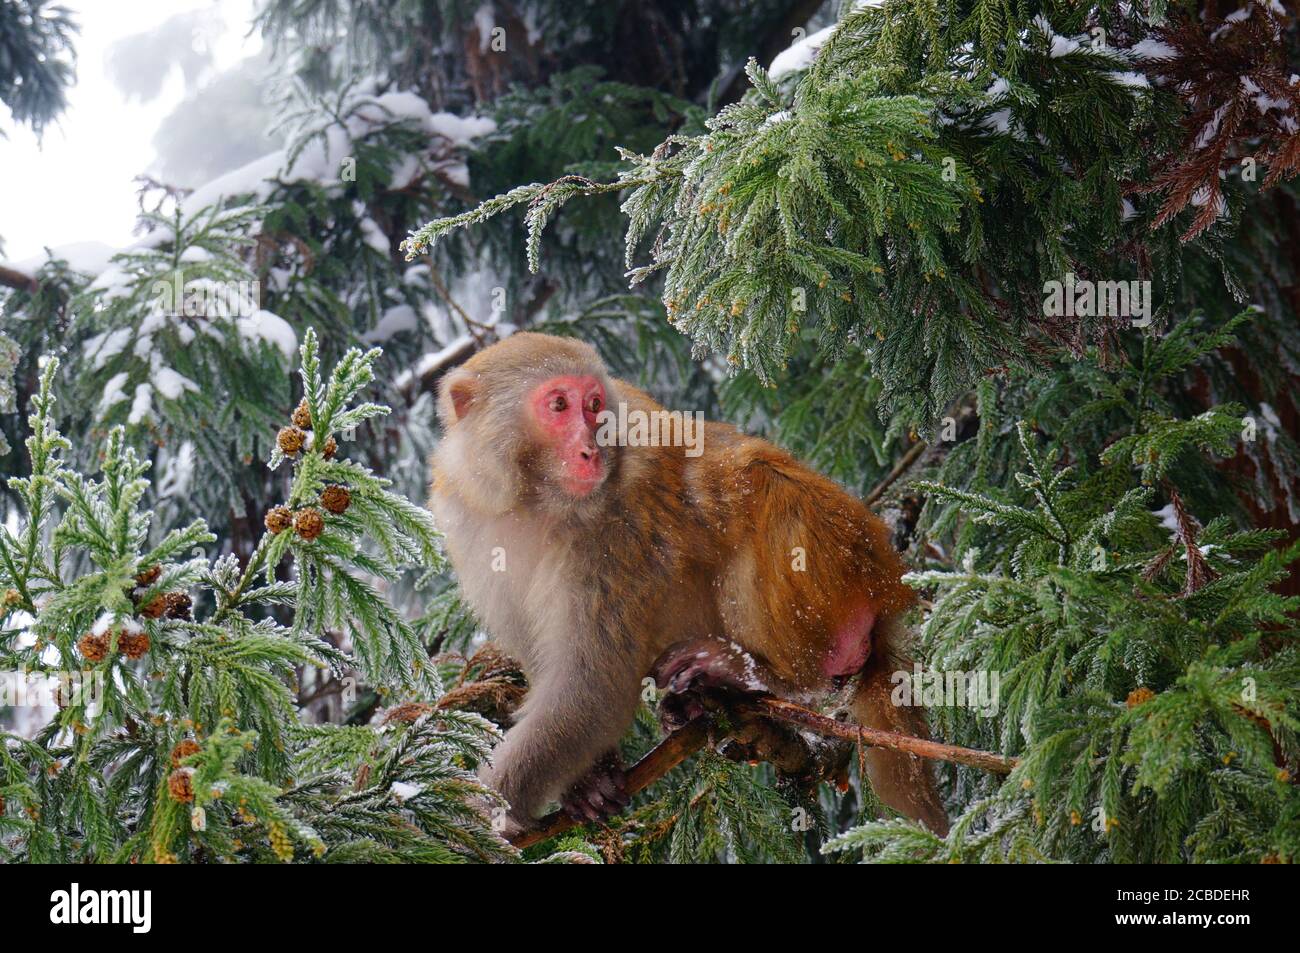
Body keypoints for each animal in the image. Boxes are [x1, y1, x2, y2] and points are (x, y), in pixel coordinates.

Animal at [431, 330, 951, 837]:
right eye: (559, 405)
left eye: (594, 403)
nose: (591, 449)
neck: (536, 501)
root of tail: (888, 581)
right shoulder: (471, 524)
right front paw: (588, 779)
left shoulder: (612, 536)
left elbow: (593, 689)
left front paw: (483, 812)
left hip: (839, 566)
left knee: (762, 490)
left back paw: (755, 675)